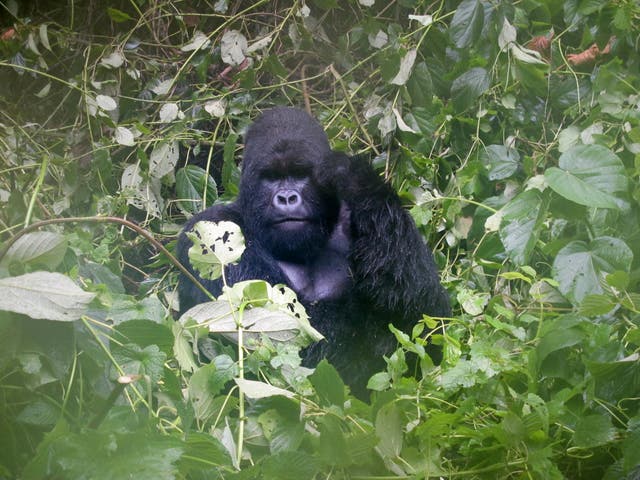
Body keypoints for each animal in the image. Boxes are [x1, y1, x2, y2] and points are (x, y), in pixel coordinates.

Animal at [175, 107, 450, 392]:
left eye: (300, 175)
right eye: (271, 178)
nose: (286, 198)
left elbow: (427, 313)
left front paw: (354, 177)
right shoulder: (211, 230)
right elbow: (289, 339)